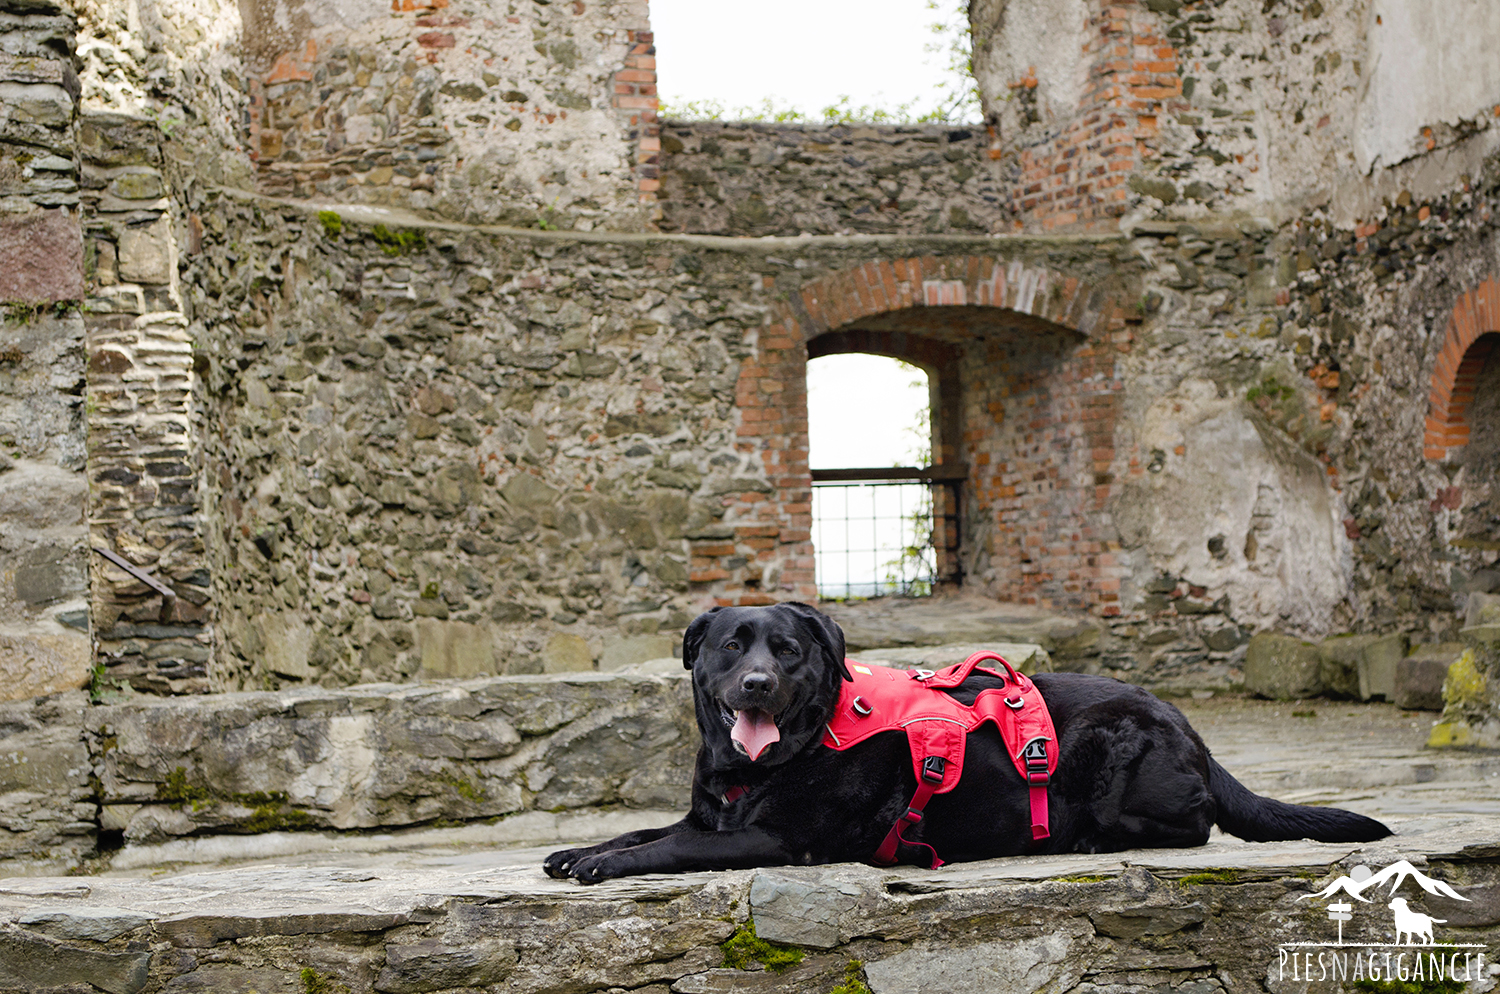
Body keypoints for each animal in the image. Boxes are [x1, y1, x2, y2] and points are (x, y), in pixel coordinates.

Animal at [543, 599, 1392, 887]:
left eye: (785, 651)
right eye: (730, 648)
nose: (756, 685)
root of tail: (1190, 726)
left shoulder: (778, 839)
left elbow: (670, 848)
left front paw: (601, 865)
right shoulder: (708, 811)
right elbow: (644, 829)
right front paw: (579, 849)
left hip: (1113, 755)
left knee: (1194, 824)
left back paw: (1084, 841)